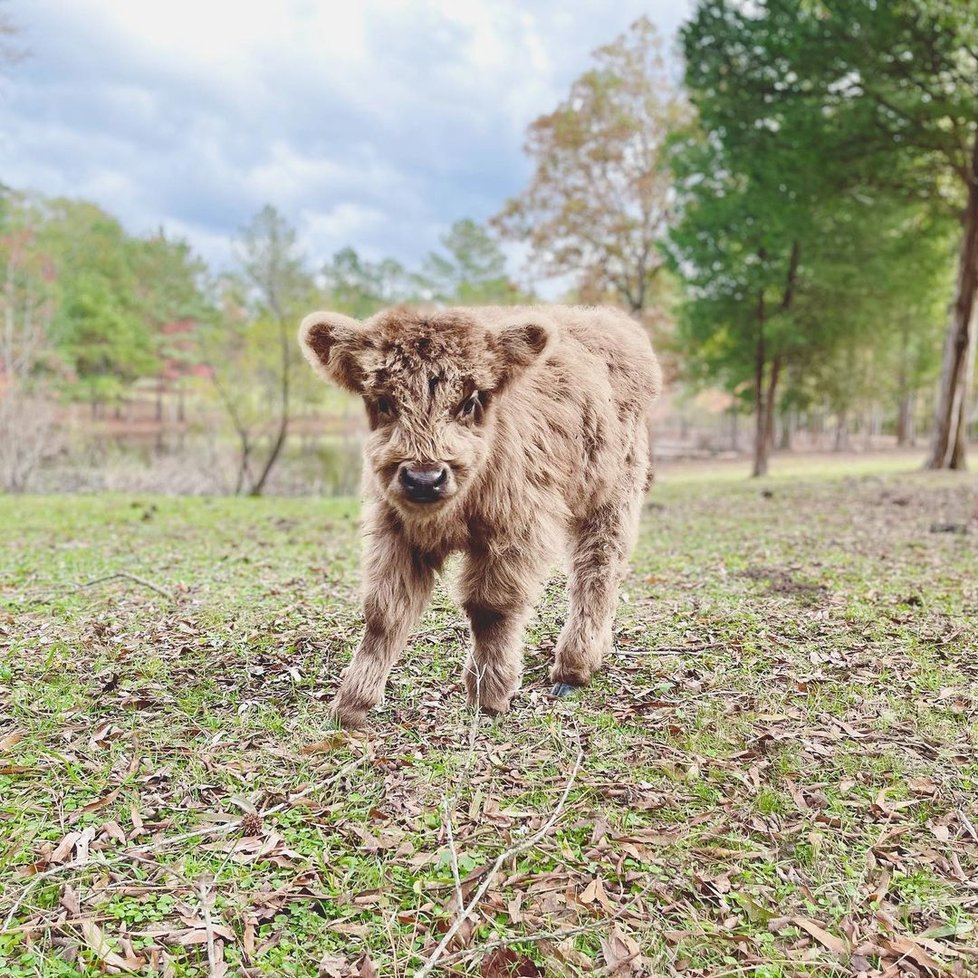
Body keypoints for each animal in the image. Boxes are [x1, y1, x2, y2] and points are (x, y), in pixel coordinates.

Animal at [298, 304, 660, 724]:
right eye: (384, 401)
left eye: (470, 401)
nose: (424, 479)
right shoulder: (393, 531)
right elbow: (384, 614)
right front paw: (352, 704)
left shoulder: (515, 532)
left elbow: (490, 610)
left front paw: (488, 695)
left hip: (611, 499)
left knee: (597, 571)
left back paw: (574, 667)